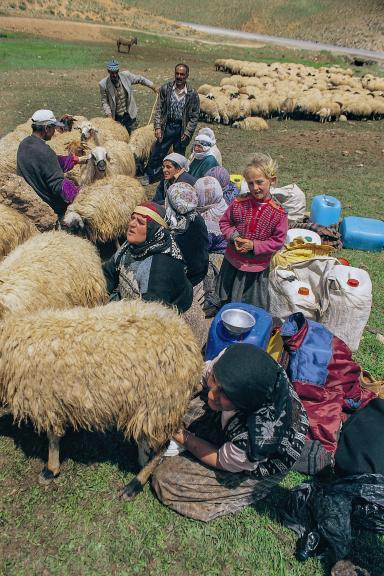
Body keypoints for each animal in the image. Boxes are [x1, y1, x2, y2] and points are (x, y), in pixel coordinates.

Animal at [0, 296, 204, 496]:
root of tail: (187, 336)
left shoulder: (44, 399)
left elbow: (52, 437)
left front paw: (50, 469)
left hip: (161, 404)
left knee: (161, 447)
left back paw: (135, 483)